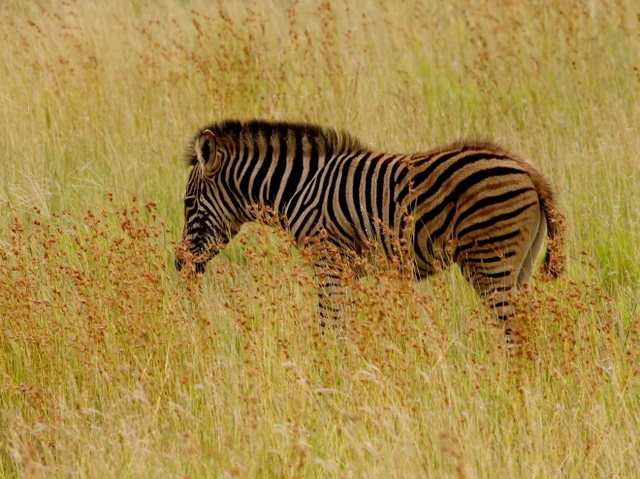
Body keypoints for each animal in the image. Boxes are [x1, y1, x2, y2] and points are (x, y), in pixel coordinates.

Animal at [174, 120, 560, 338]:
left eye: (188, 204)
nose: (180, 266)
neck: (298, 187)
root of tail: (529, 171)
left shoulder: (326, 259)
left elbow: (329, 322)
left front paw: (331, 373)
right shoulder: (342, 267)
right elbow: (340, 321)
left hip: (489, 260)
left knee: (511, 330)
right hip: (519, 264)